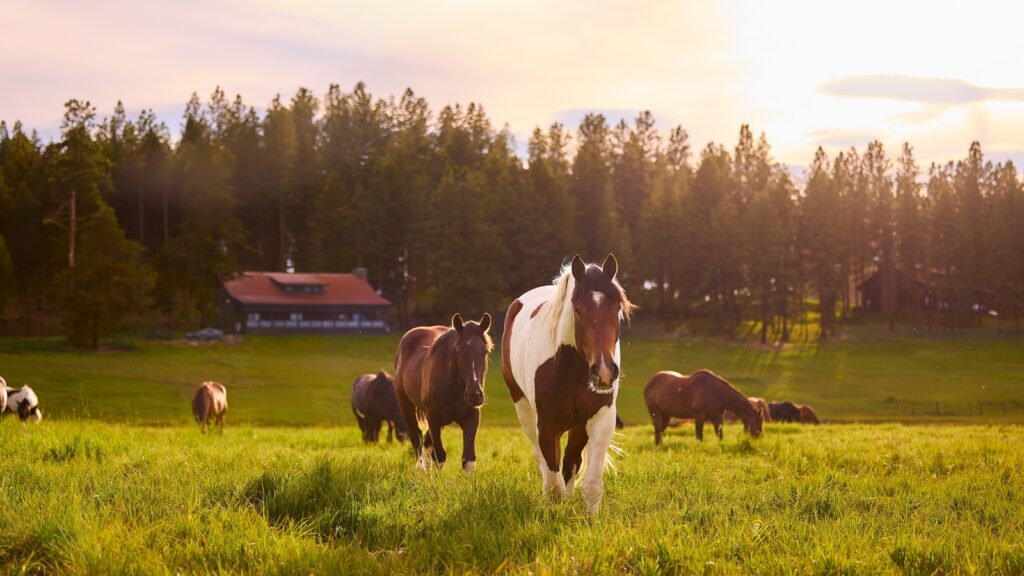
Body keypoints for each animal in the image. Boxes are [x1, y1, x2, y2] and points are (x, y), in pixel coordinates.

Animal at [394, 313, 492, 473]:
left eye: (485, 351)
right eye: (459, 351)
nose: (475, 395)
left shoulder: (471, 417)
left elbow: (468, 460)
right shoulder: (433, 418)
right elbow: (439, 456)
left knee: (426, 441)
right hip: (406, 405)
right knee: (416, 437)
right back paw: (420, 469)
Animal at [502, 254, 633, 515]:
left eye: (617, 308)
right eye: (578, 310)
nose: (604, 372)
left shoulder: (599, 419)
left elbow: (590, 482)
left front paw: (591, 519)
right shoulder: (547, 425)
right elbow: (553, 486)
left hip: (577, 426)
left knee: (571, 461)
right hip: (524, 411)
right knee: (542, 460)